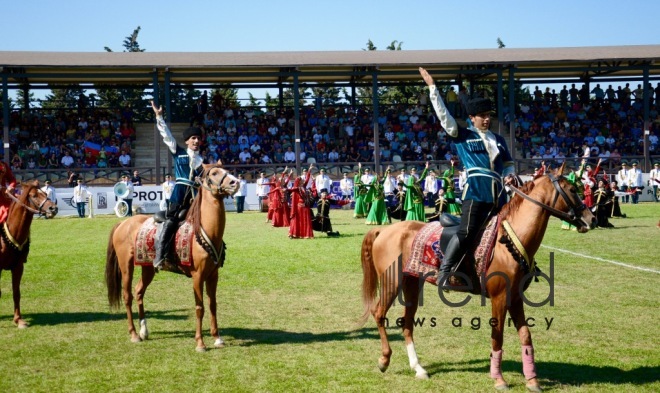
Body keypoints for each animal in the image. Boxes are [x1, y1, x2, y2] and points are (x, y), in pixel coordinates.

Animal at [0, 181, 58, 328]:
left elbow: (16, 292)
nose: (53, 209)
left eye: (45, 193)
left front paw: (18, 320)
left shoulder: (18, 267)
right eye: (34, 195)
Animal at [107, 164, 241, 350]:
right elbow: (199, 307)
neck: (205, 231)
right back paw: (134, 334)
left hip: (148, 268)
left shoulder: (213, 275)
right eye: (214, 173)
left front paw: (217, 338)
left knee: (139, 291)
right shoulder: (198, 276)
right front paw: (200, 343)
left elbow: (212, 304)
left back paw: (144, 331)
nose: (235, 182)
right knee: (127, 296)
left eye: (225, 170)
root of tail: (123, 223)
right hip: (126, 265)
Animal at [360, 163, 600, 388]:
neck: (508, 241)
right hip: (391, 282)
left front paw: (532, 380)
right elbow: (498, 336)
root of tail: (385, 230)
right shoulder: (499, 297)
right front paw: (499, 379)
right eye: (572, 189)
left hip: (411, 282)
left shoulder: (515, 297)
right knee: (379, 313)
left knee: (407, 323)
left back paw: (418, 368)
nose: (591, 218)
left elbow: (525, 335)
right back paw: (384, 360)